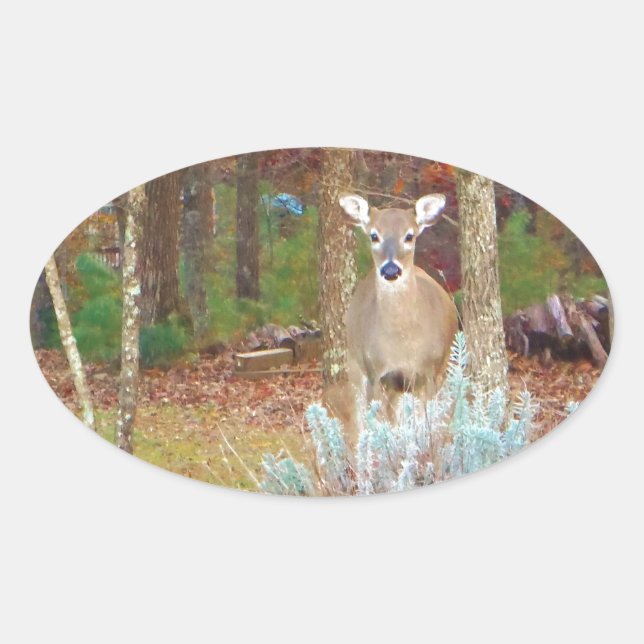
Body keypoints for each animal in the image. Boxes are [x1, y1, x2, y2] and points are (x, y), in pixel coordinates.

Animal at [326, 193, 458, 448]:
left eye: (409, 235)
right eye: (373, 235)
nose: (390, 270)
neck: (403, 344)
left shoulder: (428, 373)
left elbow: (425, 430)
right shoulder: (377, 374)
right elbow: (380, 430)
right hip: (355, 365)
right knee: (359, 422)